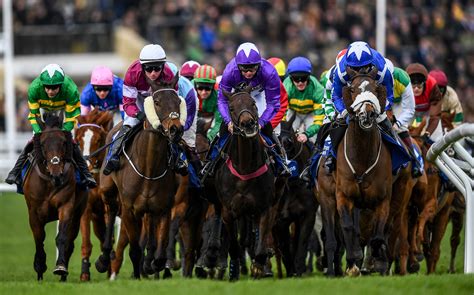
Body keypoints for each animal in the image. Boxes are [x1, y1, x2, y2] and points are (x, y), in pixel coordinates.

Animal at [22, 111, 87, 282]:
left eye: (63, 142)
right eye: (43, 144)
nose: (57, 173)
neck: (50, 183)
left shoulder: (67, 206)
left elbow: (62, 238)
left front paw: (60, 267)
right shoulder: (33, 212)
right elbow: (39, 238)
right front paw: (39, 267)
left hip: (78, 213)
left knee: (70, 241)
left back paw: (63, 275)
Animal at [98, 74, 185, 280]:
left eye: (178, 101)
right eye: (157, 102)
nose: (175, 129)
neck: (149, 168)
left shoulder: (163, 208)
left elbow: (159, 253)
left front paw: (151, 265)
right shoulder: (129, 209)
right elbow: (135, 250)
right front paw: (137, 274)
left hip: (148, 209)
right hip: (108, 190)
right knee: (111, 211)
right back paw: (104, 258)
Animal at [213, 88, 276, 282]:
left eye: (253, 104)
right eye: (231, 108)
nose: (248, 123)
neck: (245, 167)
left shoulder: (265, 208)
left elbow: (261, 241)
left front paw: (258, 267)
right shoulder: (228, 211)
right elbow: (234, 244)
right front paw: (233, 271)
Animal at [336, 67, 392, 278]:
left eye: (376, 89)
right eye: (352, 89)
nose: (366, 114)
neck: (361, 158)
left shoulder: (383, 199)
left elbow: (378, 233)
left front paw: (379, 261)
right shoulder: (343, 195)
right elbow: (348, 226)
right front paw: (353, 261)